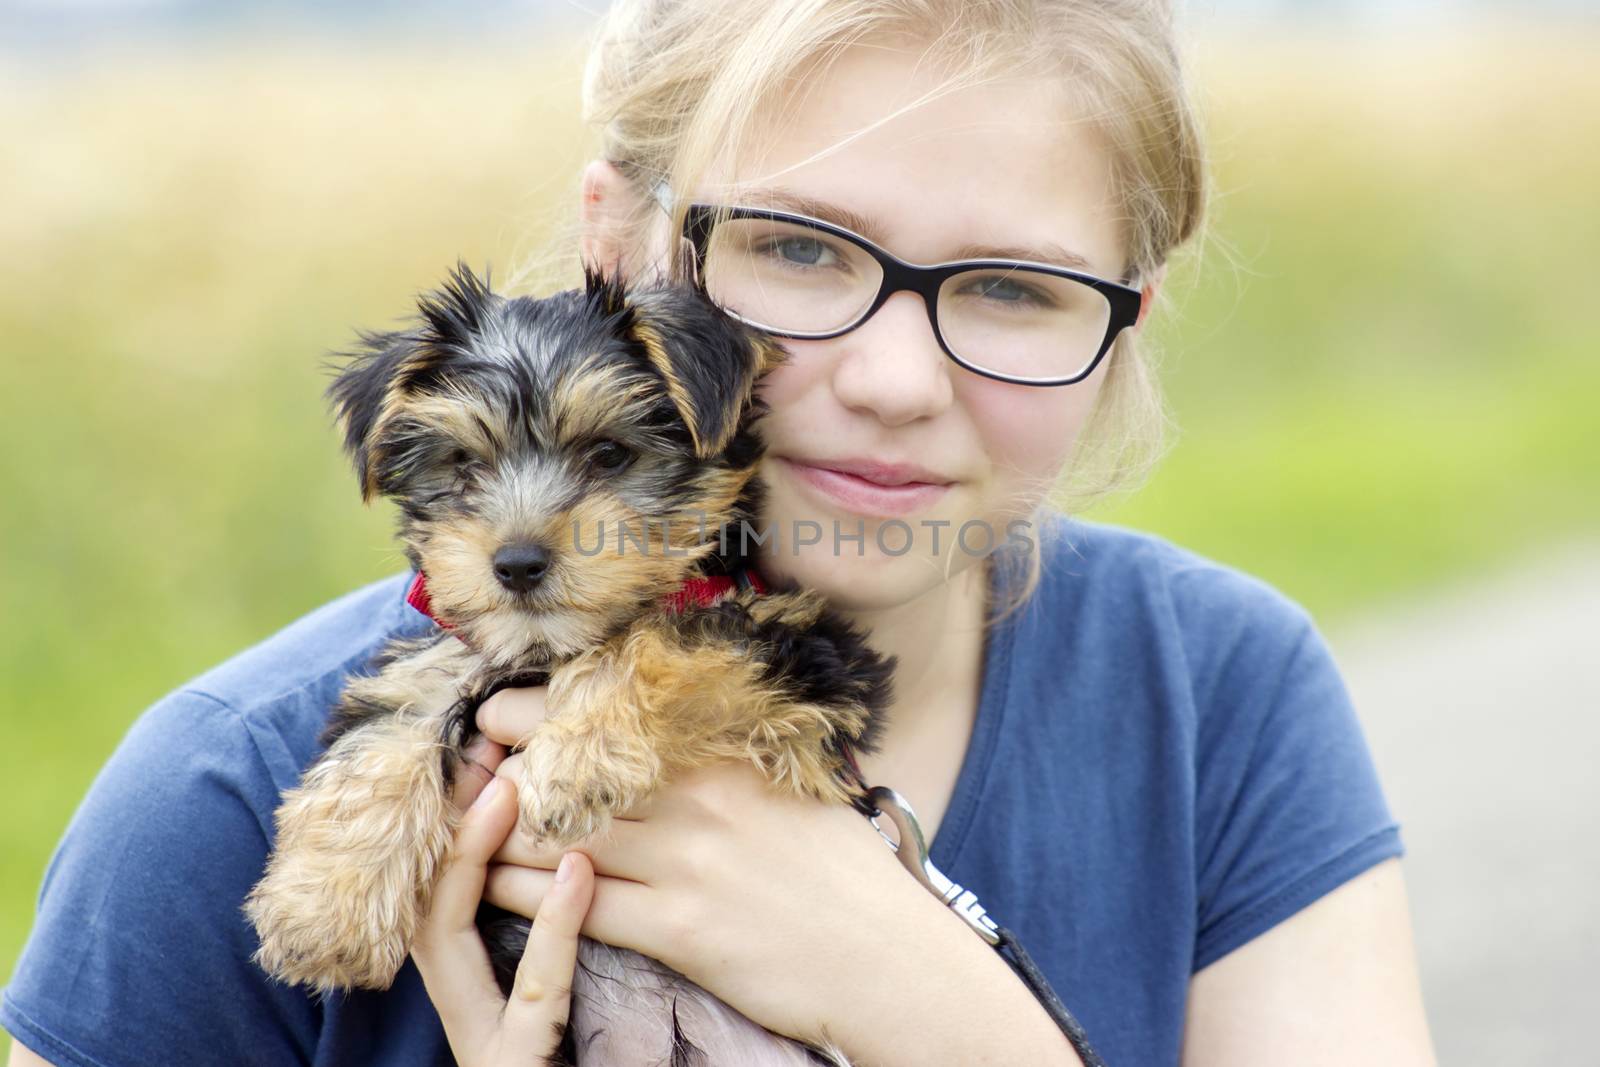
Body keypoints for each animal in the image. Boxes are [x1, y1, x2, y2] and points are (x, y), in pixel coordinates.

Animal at [251, 262, 902, 1062]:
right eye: (463, 464)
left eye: (610, 454)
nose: (517, 563)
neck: (549, 647)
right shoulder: (439, 663)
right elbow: (378, 743)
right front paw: (323, 912)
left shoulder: (797, 652)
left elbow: (660, 641)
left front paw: (577, 763)